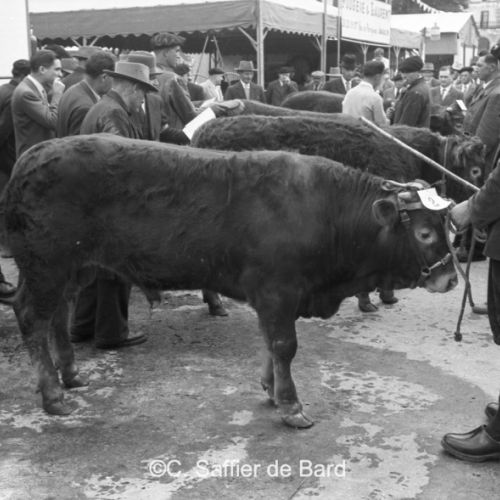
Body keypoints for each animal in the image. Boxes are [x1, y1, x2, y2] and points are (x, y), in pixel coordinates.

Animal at [3, 134, 457, 428]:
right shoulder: (278, 292)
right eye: (424, 233)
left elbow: (270, 344)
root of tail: (31, 155)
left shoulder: (273, 298)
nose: (451, 278)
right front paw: (291, 405)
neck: (325, 210)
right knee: (32, 318)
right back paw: (53, 395)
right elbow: (284, 345)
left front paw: (271, 388)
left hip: (72, 270)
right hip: (46, 267)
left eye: (447, 225)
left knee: (58, 316)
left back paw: (71, 374)